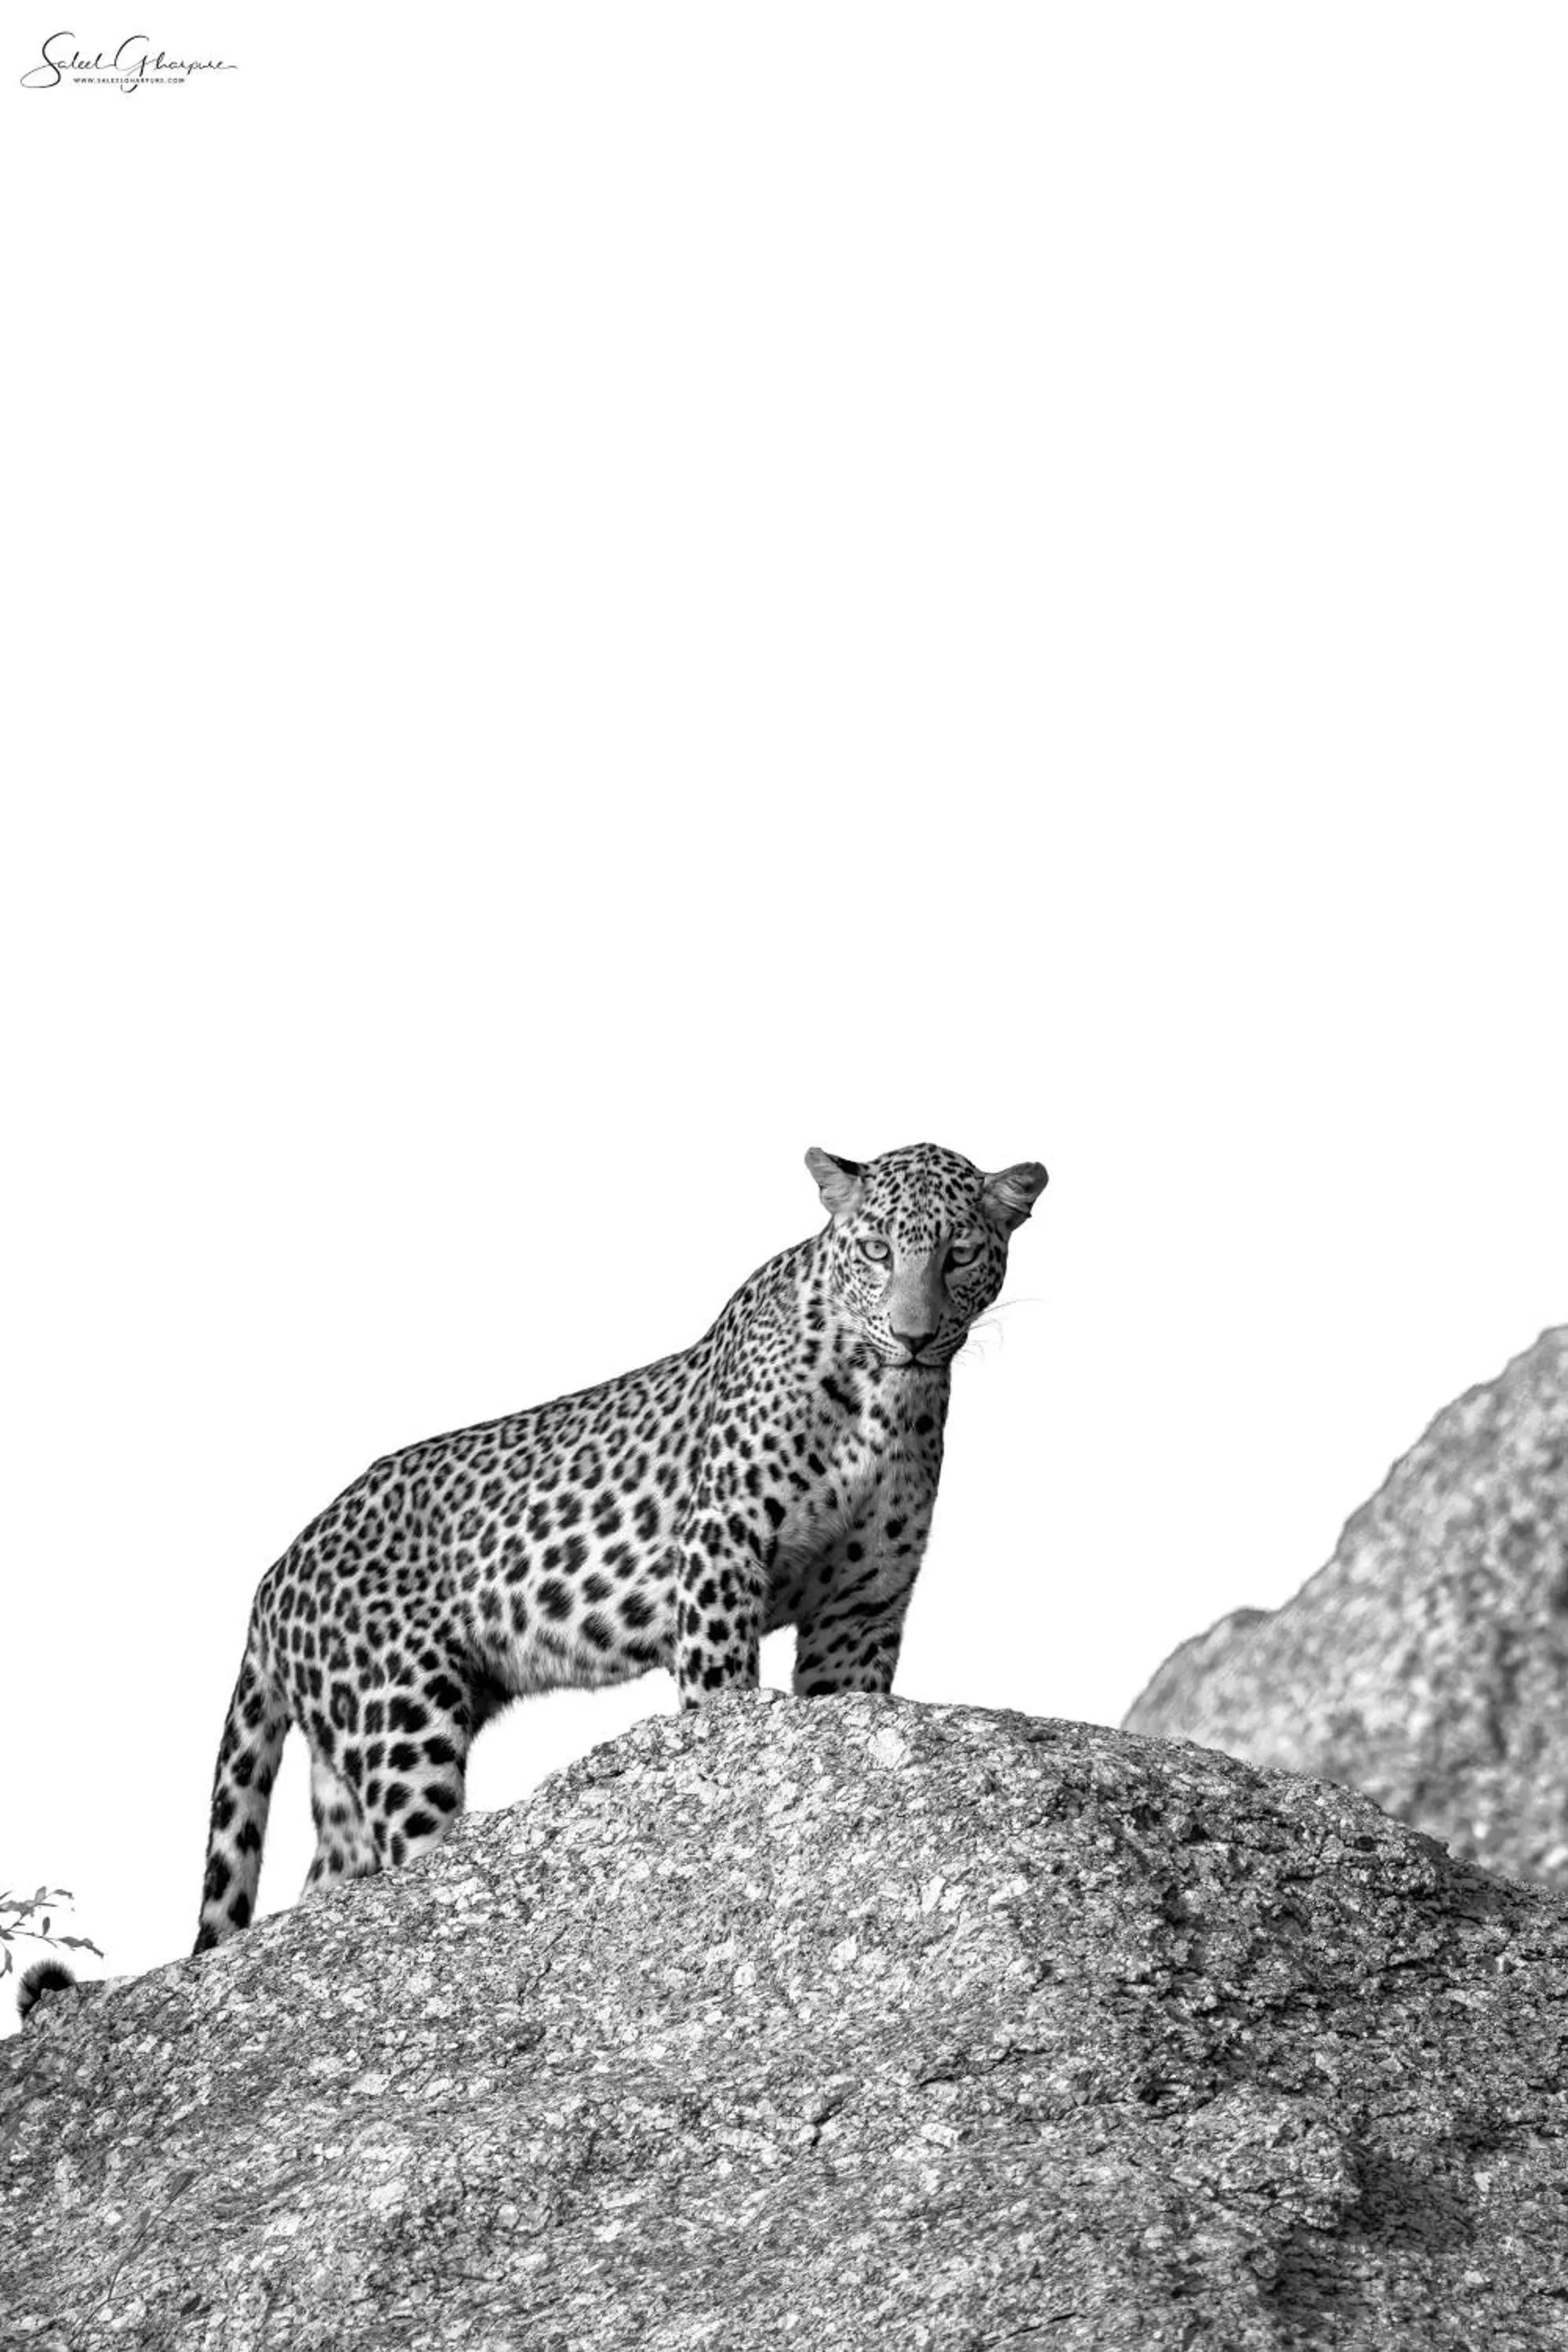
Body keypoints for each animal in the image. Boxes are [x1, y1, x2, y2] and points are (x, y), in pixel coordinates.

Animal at [192, 1139, 1047, 1954]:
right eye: (875, 1250)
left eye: (958, 1255)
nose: (913, 1335)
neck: (884, 1395)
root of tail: (271, 1580)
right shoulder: (721, 1550)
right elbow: (719, 1698)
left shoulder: (861, 1607)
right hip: (400, 1725)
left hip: (344, 1763)